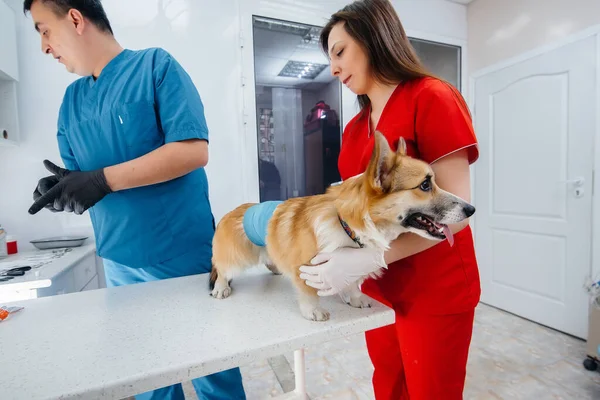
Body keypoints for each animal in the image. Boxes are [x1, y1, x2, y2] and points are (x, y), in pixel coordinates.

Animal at [209, 132, 476, 322]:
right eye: (424, 185)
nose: (471, 210)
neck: (347, 225)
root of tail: (233, 211)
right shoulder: (304, 267)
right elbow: (308, 292)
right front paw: (314, 311)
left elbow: (352, 281)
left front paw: (355, 297)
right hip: (238, 256)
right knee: (222, 268)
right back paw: (221, 287)